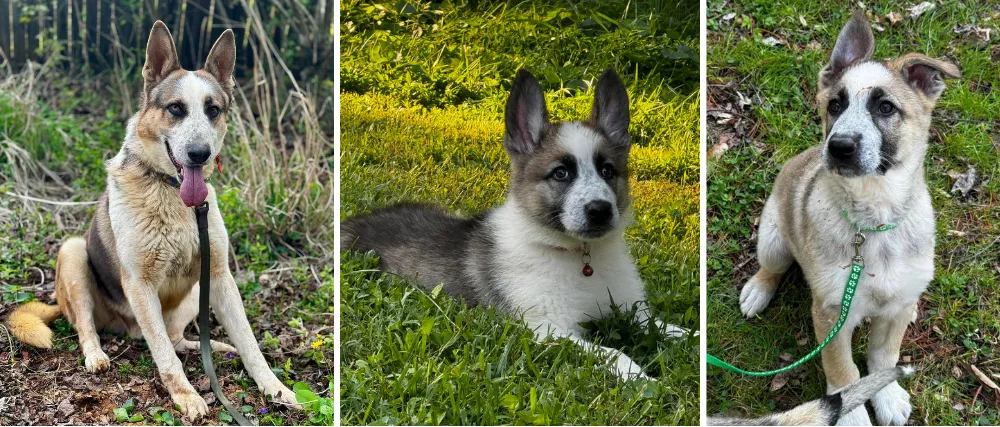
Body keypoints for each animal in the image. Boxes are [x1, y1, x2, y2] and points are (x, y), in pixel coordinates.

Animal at [4, 21, 300, 420]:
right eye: (175, 109)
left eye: (213, 110)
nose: (199, 154)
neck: (169, 192)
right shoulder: (140, 285)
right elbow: (164, 356)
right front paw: (186, 396)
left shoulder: (219, 277)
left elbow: (250, 345)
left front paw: (275, 388)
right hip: (75, 254)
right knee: (88, 327)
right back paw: (96, 355)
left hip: (196, 290)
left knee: (176, 338)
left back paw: (212, 348)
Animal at [340, 68, 692, 380]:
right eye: (561, 173)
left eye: (607, 171)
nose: (600, 211)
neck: (579, 257)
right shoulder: (546, 328)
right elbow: (612, 352)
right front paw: (639, 377)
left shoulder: (634, 313)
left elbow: (676, 330)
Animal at [740, 10, 956, 427]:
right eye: (835, 105)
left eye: (885, 108)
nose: (838, 147)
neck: (874, 220)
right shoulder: (830, 313)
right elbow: (843, 371)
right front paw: (851, 412)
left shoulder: (890, 312)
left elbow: (883, 356)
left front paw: (886, 394)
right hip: (773, 238)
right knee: (771, 267)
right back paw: (758, 290)